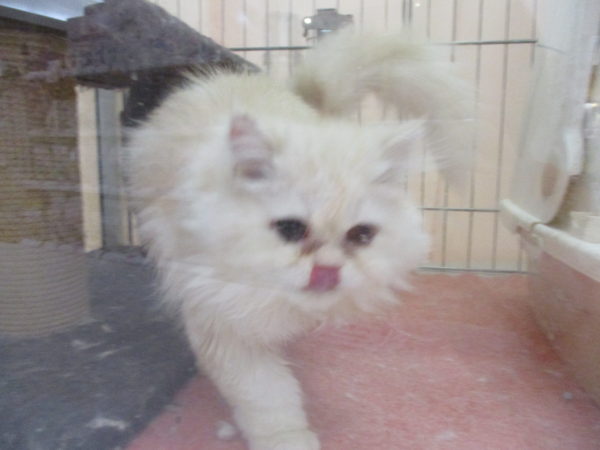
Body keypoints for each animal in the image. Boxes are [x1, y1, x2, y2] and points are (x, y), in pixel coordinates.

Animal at [127, 28, 471, 450]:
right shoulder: (218, 317)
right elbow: (267, 397)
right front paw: (287, 439)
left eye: (361, 235)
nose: (328, 270)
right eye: (291, 230)